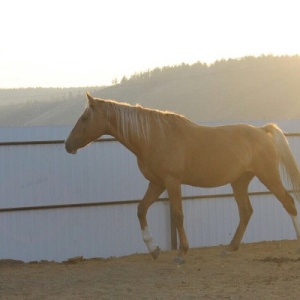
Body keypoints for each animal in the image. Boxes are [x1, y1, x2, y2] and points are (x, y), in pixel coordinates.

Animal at [65, 93, 300, 262]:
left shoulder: (171, 182)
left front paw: (181, 252)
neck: (153, 136)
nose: (68, 145)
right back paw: (230, 248)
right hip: (239, 181)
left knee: (288, 202)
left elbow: (178, 215)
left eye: (84, 118)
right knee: (246, 212)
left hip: (268, 175)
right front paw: (154, 249)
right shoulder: (157, 183)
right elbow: (141, 209)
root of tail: (262, 131)